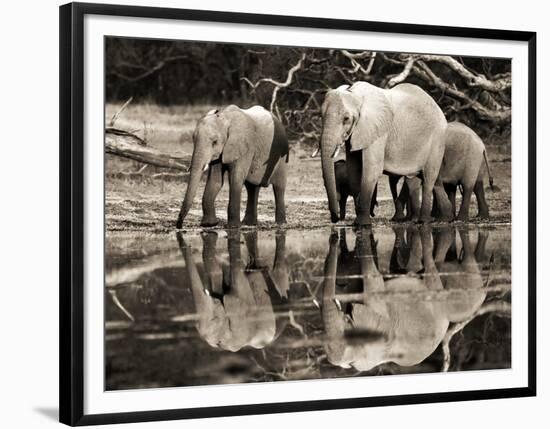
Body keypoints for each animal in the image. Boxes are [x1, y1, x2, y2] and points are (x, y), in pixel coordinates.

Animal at [320, 81, 452, 226]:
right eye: (321, 116)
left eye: (346, 119)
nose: (335, 218)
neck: (355, 95)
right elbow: (354, 170)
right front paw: (357, 222)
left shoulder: (379, 131)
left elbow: (371, 169)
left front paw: (362, 224)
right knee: (432, 179)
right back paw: (445, 219)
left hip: (437, 139)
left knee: (429, 178)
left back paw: (423, 221)